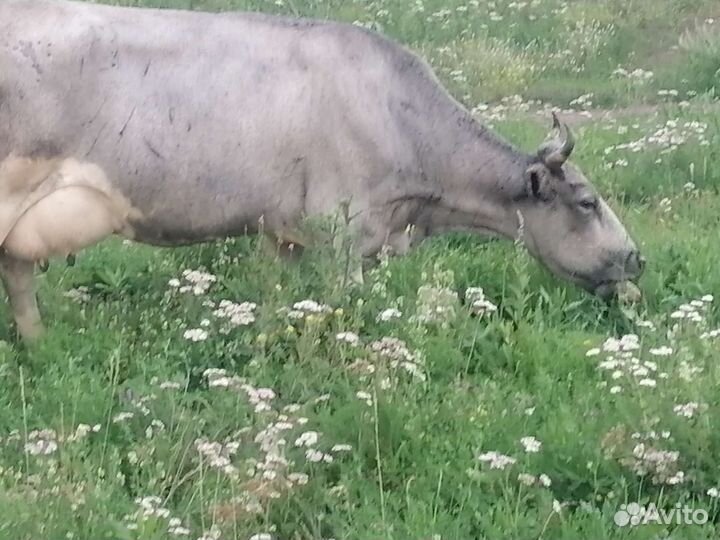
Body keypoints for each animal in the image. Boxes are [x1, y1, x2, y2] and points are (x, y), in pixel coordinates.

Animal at [0, 0, 644, 339]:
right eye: (587, 202)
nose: (638, 258)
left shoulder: (285, 232)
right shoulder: (342, 234)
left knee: (19, 275)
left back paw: (38, 345)